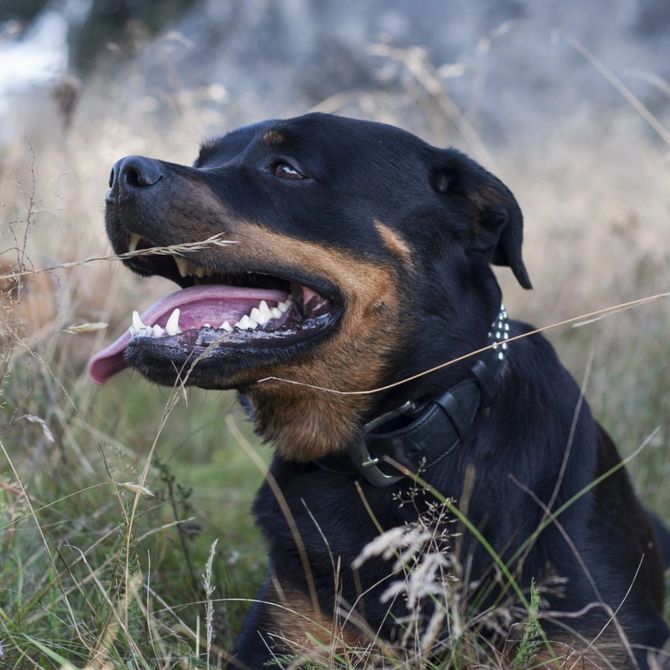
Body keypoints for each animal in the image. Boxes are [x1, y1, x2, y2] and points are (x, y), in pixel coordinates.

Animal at [90, 113, 670, 668]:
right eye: (202, 160)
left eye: (287, 169)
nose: (120, 172)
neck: (398, 452)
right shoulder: (283, 636)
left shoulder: (605, 640)